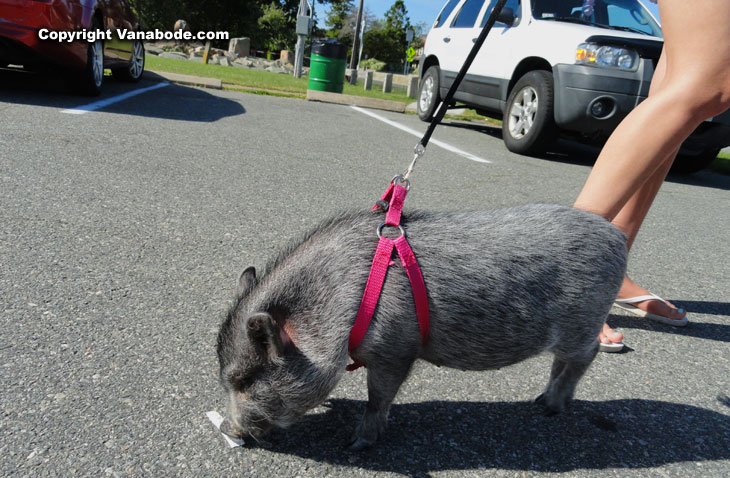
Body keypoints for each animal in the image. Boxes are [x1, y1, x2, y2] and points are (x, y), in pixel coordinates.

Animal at [216, 204, 624, 450]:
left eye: (246, 381)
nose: (226, 430)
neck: (344, 303)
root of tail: (618, 237)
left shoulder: (395, 348)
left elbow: (379, 396)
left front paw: (357, 443)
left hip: (582, 323)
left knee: (584, 356)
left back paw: (552, 407)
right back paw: (541, 401)